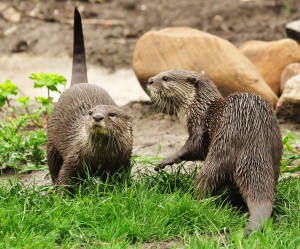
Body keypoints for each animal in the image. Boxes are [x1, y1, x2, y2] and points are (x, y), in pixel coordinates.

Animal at [46, 7, 132, 186]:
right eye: (90, 112)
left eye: (112, 114)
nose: (97, 117)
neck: (100, 158)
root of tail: (80, 83)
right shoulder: (73, 156)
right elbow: (64, 176)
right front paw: (62, 194)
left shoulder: (124, 162)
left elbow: (122, 180)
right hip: (51, 143)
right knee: (53, 166)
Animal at [146, 69, 282, 234]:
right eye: (161, 73)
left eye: (165, 78)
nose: (150, 80)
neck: (200, 108)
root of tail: (255, 146)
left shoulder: (200, 128)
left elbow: (194, 148)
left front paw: (166, 160)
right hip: (275, 152)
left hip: (221, 149)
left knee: (206, 179)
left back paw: (194, 201)